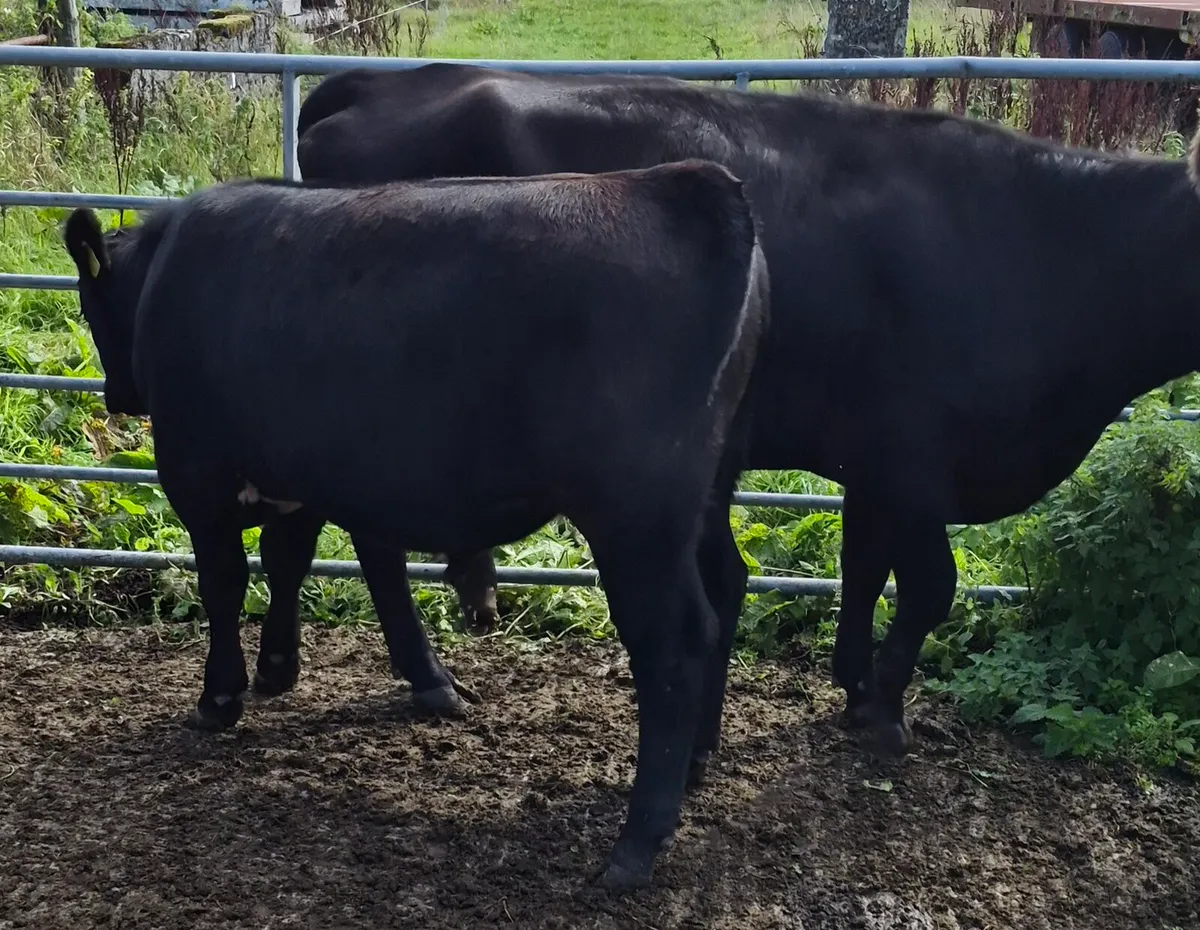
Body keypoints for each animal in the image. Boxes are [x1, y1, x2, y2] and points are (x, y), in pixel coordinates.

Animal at [62, 162, 770, 891]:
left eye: (89, 303)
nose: (115, 394)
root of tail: (690, 180)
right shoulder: (308, 476)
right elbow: (299, 563)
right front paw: (283, 668)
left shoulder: (196, 476)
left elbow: (226, 584)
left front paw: (220, 695)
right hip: (708, 492)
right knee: (727, 586)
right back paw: (693, 766)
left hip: (636, 517)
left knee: (675, 641)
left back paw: (638, 841)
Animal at [295, 61, 1200, 763]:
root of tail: (382, 81)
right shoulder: (914, 463)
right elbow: (929, 587)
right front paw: (886, 713)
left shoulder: (875, 467)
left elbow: (862, 570)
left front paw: (854, 687)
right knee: (375, 542)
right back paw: (431, 678)